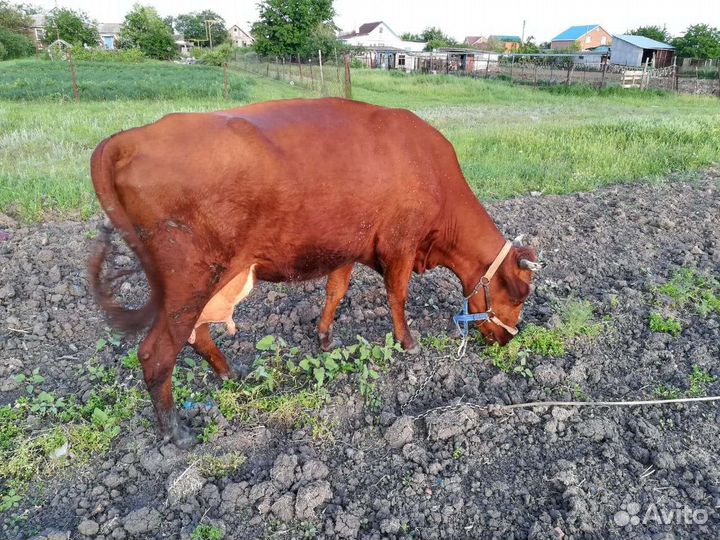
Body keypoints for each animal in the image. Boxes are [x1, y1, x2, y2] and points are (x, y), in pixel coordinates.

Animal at [88, 98, 541, 447]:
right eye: (518, 295)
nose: (507, 339)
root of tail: (129, 138)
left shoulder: (348, 246)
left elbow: (335, 292)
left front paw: (324, 339)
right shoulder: (401, 244)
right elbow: (397, 294)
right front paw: (408, 343)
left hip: (206, 281)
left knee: (196, 334)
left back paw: (231, 374)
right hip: (188, 279)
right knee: (156, 352)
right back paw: (176, 432)